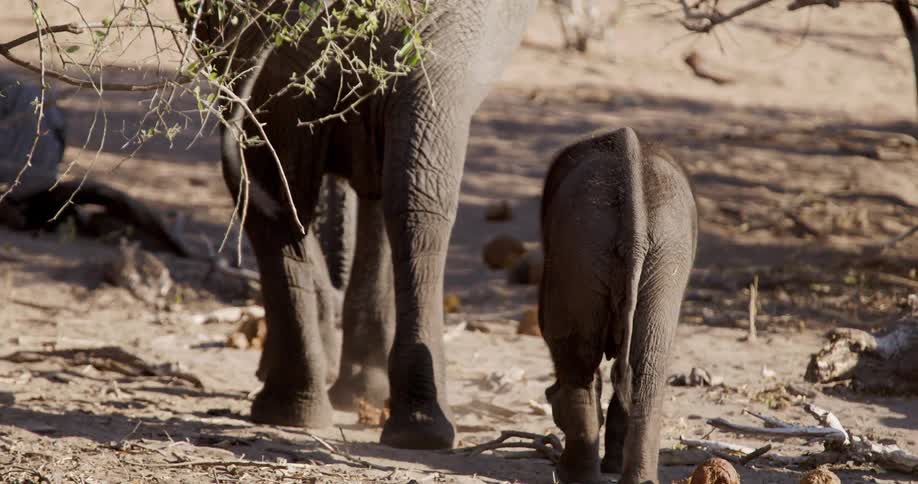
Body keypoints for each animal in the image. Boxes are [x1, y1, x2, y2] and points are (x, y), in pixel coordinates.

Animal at [539, 127, 698, 483]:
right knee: (647, 364)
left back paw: (576, 477)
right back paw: (635, 479)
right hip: (660, 250)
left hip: (582, 245)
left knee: (577, 357)